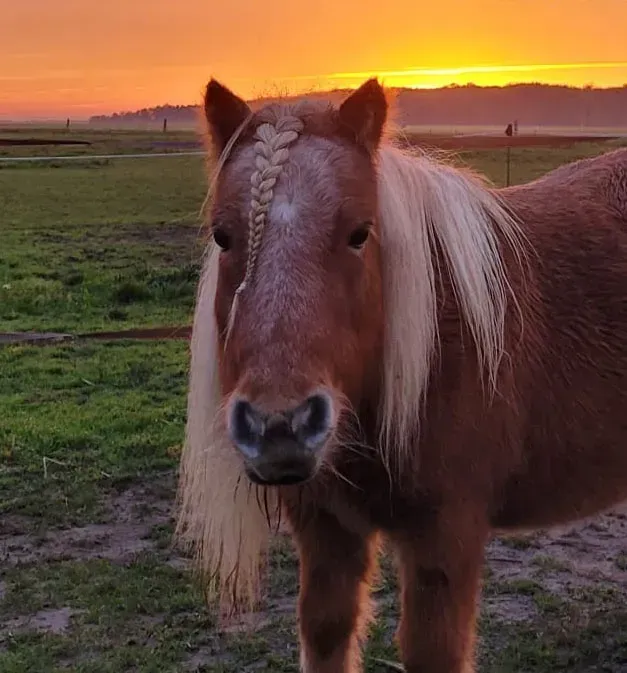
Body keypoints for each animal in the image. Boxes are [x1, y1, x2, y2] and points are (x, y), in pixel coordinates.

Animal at [175, 76, 627, 673]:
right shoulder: (327, 533)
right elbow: (325, 633)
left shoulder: (446, 541)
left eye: (360, 233)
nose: (279, 428)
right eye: (223, 236)